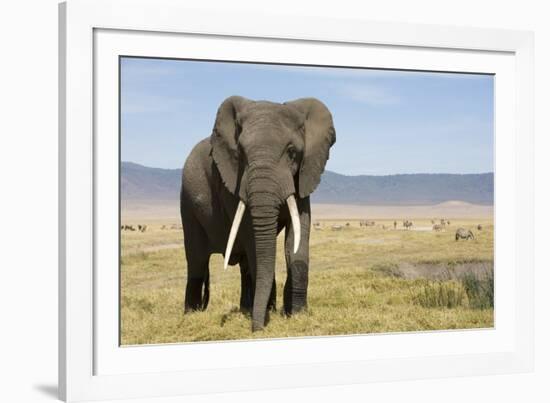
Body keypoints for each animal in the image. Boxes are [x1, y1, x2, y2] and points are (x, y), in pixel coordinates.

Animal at [181, 95, 336, 332]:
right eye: (241, 154)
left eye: (292, 152)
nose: (257, 329)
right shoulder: (232, 183)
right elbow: (252, 239)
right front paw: (268, 315)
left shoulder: (303, 175)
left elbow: (298, 236)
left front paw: (296, 314)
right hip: (187, 203)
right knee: (197, 260)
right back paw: (191, 315)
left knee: (243, 264)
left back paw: (247, 308)